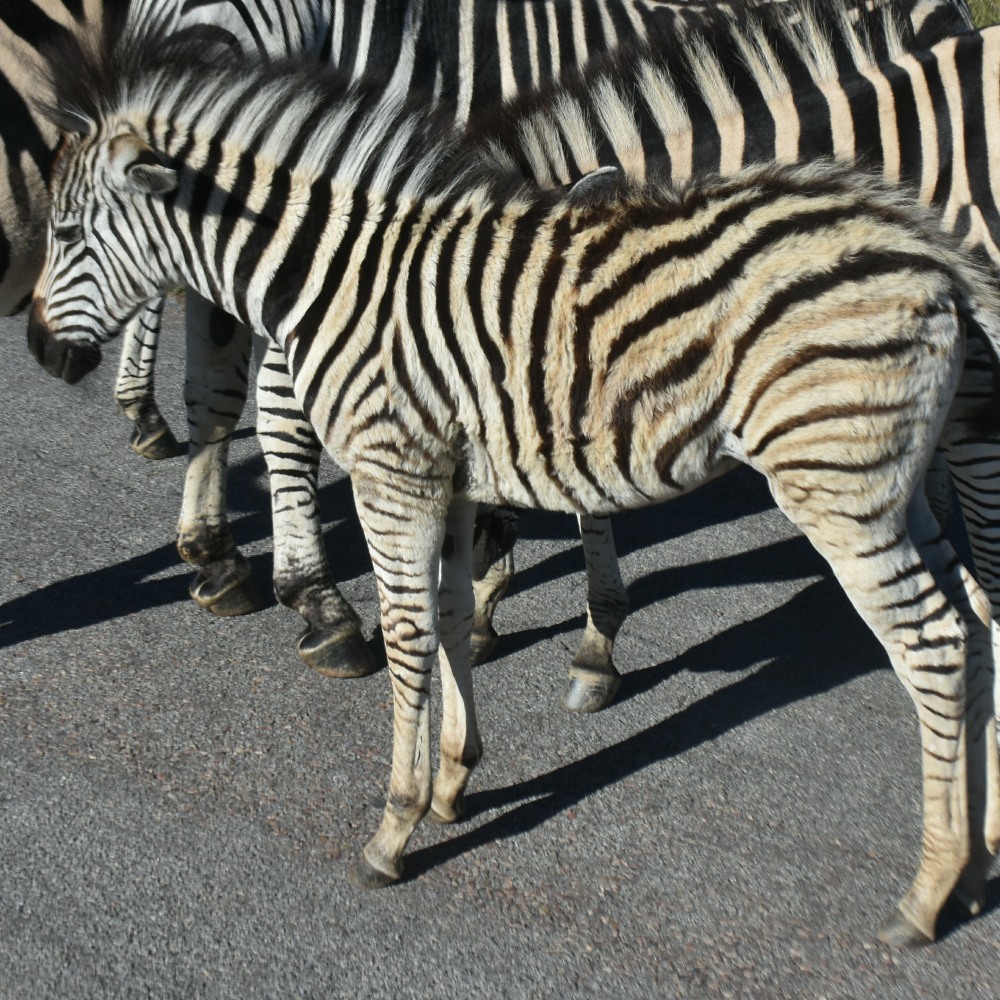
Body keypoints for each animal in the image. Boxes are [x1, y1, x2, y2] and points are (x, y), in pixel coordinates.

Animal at [28, 33, 1000, 947]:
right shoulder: (451, 483)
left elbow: (409, 636)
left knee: (934, 644)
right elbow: (455, 617)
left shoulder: (394, 473)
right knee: (978, 626)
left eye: (67, 236)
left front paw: (393, 828)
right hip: (896, 488)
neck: (340, 277)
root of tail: (932, 252)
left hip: (838, 487)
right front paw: (454, 781)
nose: (37, 349)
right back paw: (977, 863)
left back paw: (926, 893)